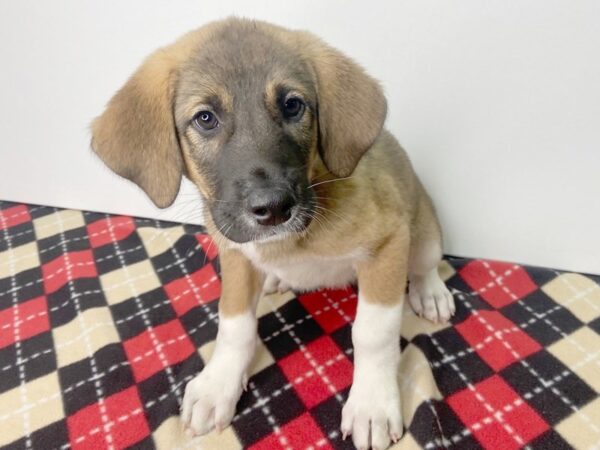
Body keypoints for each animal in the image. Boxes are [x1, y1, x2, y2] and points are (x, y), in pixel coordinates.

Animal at [90, 17, 454, 450]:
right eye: (205, 118)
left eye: (292, 105)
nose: (274, 207)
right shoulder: (235, 253)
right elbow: (234, 325)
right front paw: (218, 384)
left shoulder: (388, 242)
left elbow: (373, 333)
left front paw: (372, 404)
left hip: (424, 233)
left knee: (425, 266)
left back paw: (429, 293)